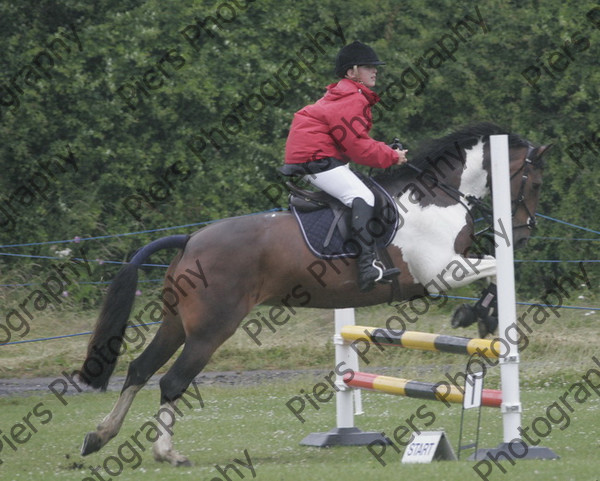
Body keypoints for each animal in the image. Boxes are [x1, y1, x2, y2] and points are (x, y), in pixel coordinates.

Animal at [77, 123, 552, 464]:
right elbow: (497, 270)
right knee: (173, 380)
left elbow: (494, 274)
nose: (525, 235)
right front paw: (481, 316)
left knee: (140, 369)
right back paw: (167, 452)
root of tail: (190, 240)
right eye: (534, 182)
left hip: (177, 324)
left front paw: (479, 316)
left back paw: (99, 436)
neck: (436, 196)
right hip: (211, 330)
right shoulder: (440, 273)